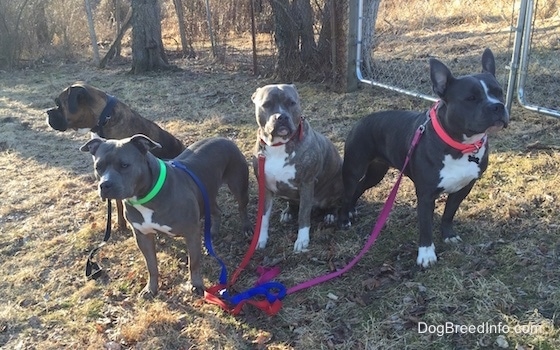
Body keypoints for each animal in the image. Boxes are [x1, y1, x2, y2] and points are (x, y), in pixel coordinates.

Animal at [80, 135, 252, 296]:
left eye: (124, 165)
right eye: (98, 167)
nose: (105, 185)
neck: (144, 196)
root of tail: (223, 138)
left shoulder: (191, 232)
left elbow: (194, 263)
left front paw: (196, 285)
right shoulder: (142, 236)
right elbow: (151, 265)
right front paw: (151, 288)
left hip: (237, 185)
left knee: (242, 208)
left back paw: (247, 229)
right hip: (207, 194)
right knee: (216, 211)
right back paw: (213, 233)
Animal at [252, 84, 344, 252]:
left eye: (291, 103)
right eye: (267, 104)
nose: (281, 117)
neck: (278, 145)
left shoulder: (307, 183)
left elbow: (303, 214)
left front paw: (302, 240)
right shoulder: (265, 187)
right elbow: (264, 217)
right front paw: (261, 239)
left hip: (337, 183)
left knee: (333, 203)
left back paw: (330, 215)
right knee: (292, 203)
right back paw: (288, 212)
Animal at [340, 49, 510, 266]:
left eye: (499, 92)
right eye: (471, 98)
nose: (498, 106)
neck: (461, 145)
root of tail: (361, 120)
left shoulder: (464, 187)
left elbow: (449, 213)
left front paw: (448, 235)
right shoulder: (426, 195)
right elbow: (426, 225)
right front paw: (426, 254)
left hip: (376, 172)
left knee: (361, 187)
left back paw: (352, 210)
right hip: (354, 168)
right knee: (348, 191)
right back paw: (344, 218)